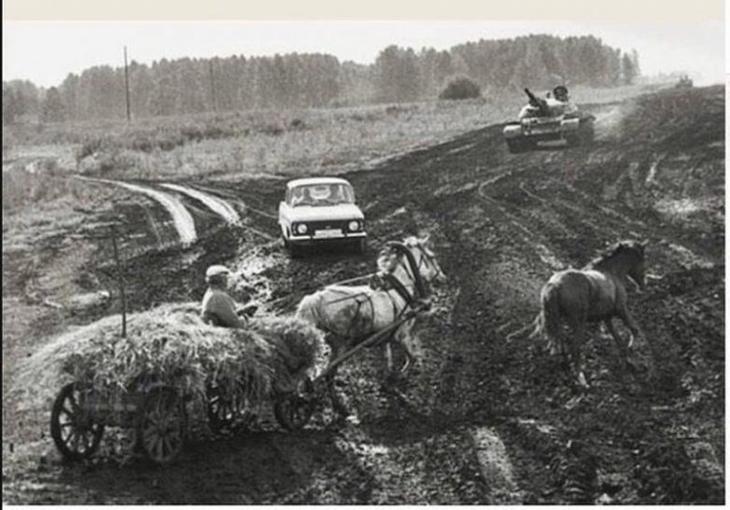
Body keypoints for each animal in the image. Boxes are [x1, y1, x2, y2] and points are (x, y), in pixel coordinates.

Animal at [294, 237, 444, 416]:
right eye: (432, 257)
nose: (442, 276)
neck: (398, 291)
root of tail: (316, 299)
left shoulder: (385, 338)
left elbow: (388, 360)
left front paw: (388, 383)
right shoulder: (402, 335)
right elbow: (412, 358)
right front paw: (397, 379)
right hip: (341, 346)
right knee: (329, 373)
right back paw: (339, 406)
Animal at [528, 239, 644, 386]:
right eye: (642, 261)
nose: (642, 285)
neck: (611, 272)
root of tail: (555, 285)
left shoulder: (607, 318)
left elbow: (618, 339)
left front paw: (628, 360)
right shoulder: (621, 310)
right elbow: (634, 330)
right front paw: (631, 354)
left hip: (559, 322)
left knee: (561, 346)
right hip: (578, 323)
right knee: (574, 348)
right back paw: (582, 380)